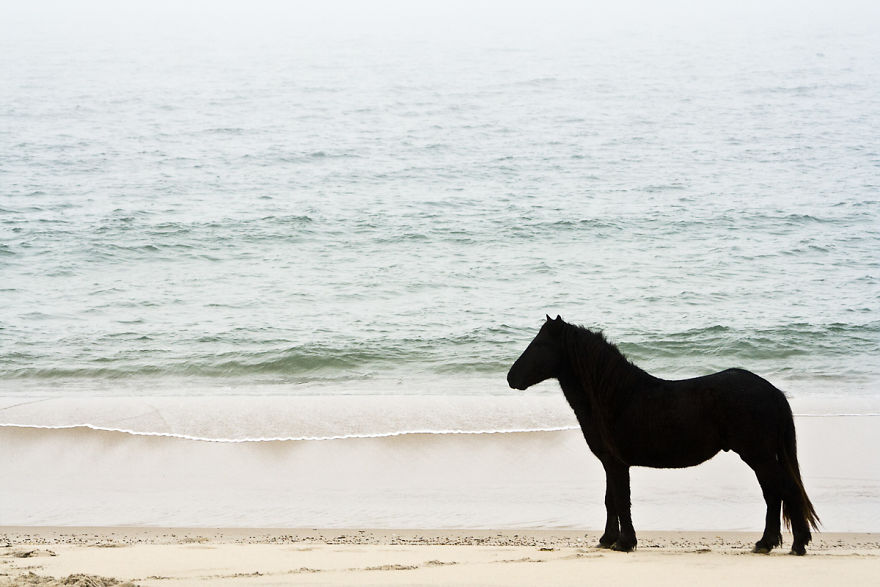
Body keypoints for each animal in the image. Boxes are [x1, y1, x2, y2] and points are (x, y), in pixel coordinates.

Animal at [507, 315, 819, 555]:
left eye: (539, 344)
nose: (511, 378)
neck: (616, 396)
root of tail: (772, 391)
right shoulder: (609, 462)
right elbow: (610, 500)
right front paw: (608, 540)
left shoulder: (618, 464)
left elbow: (621, 499)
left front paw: (624, 543)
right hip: (759, 457)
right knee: (773, 494)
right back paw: (765, 543)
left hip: (758, 455)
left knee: (785, 490)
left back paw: (797, 545)